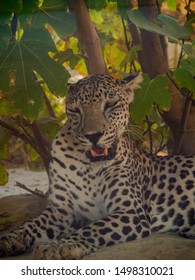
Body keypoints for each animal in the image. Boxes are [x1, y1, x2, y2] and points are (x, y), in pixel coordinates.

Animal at [0, 74, 194, 258]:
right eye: (75, 110)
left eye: (110, 104)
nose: (93, 136)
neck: (88, 168)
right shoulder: (61, 211)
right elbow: (30, 224)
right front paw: (8, 239)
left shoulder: (129, 212)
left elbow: (92, 229)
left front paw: (60, 245)